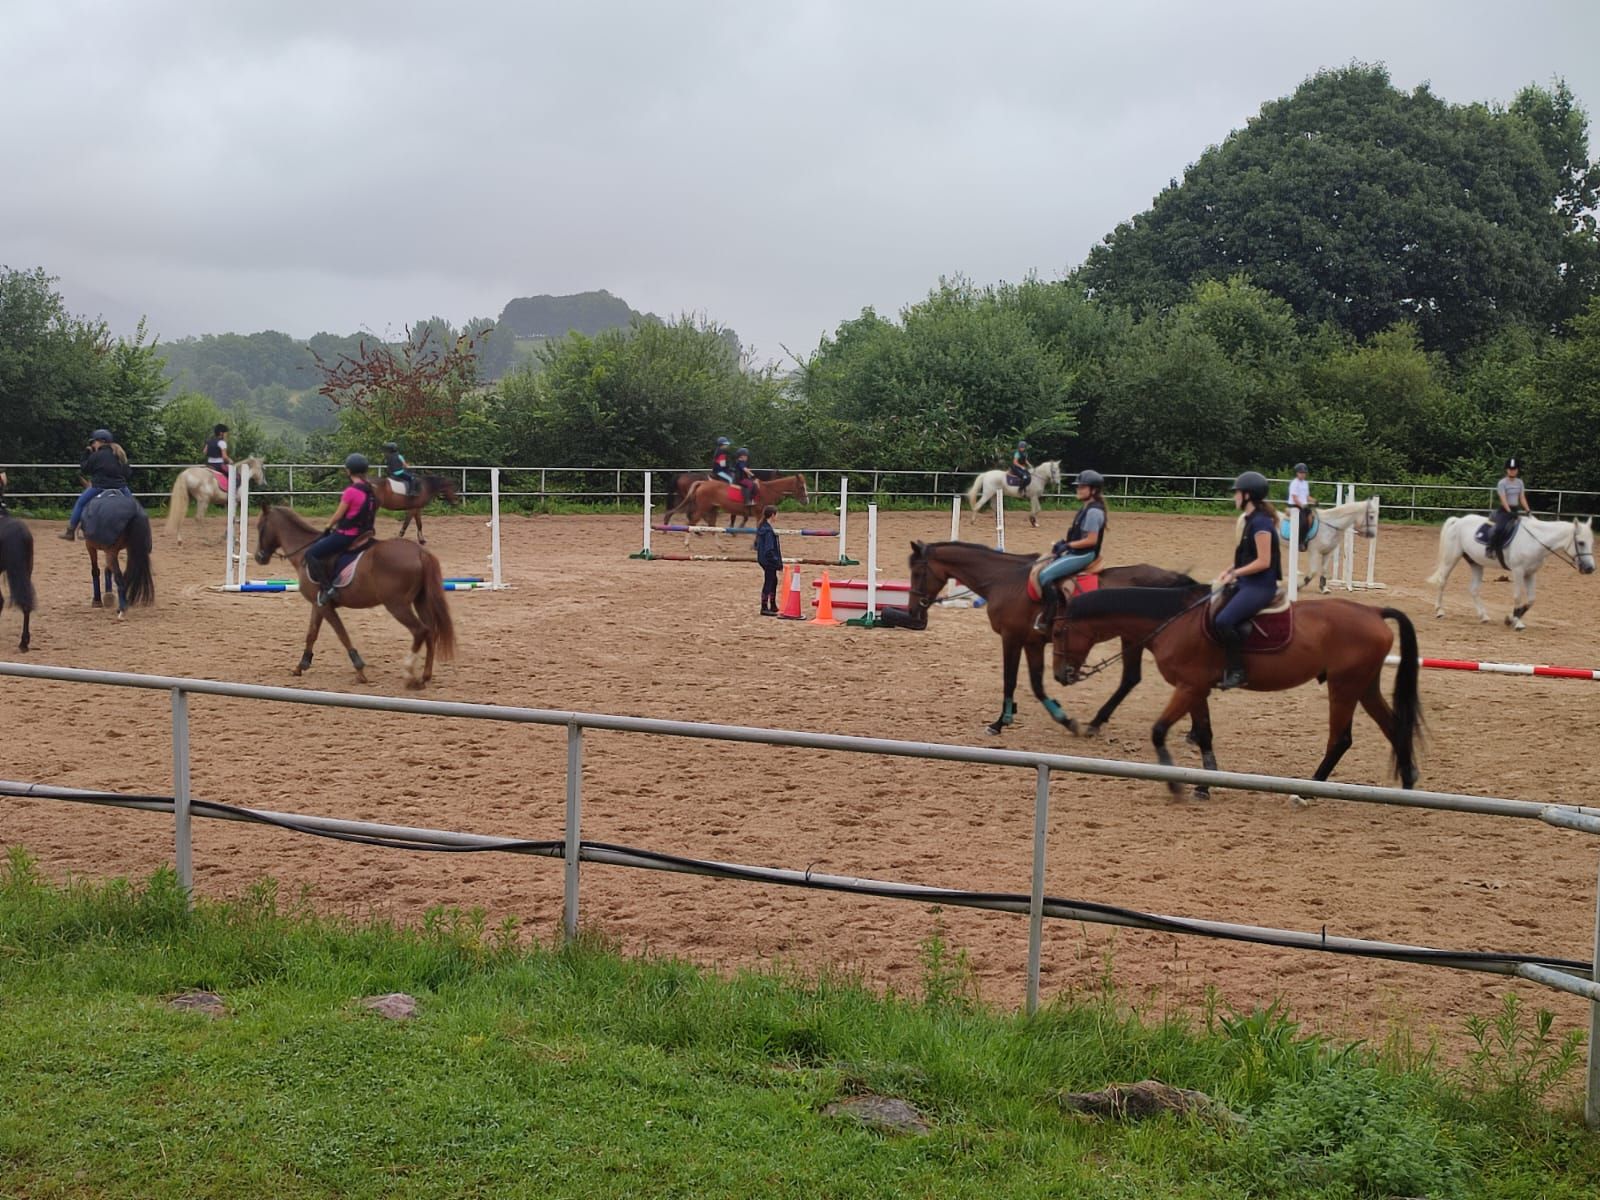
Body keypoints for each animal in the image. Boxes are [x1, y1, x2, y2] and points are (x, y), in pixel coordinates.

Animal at [254, 503, 456, 689]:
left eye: (259, 526)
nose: (258, 557)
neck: (305, 552)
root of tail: (420, 552)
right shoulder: (318, 605)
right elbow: (312, 634)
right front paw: (301, 666)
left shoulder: (325, 607)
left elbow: (342, 635)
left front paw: (360, 671)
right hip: (420, 600)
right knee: (431, 631)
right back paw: (425, 676)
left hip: (397, 605)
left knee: (420, 630)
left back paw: (409, 673)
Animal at [663, 474, 810, 545]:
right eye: (801, 487)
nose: (806, 501)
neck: (767, 490)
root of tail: (703, 483)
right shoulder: (759, 514)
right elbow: (758, 528)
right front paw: (754, 545)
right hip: (702, 508)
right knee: (691, 522)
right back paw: (687, 543)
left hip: (712, 508)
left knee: (711, 525)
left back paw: (719, 546)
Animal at [897, 540, 1202, 736]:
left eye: (918, 572)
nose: (912, 612)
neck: (1004, 580)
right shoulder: (1032, 644)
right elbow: (1036, 685)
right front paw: (1057, 716)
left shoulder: (1011, 638)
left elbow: (1010, 680)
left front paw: (999, 723)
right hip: (1134, 639)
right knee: (1134, 678)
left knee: (1140, 678)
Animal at [1051, 587, 1422, 800]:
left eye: (1058, 631)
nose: (1059, 675)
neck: (1175, 622)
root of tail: (1373, 611)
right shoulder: (1196, 689)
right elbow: (1204, 734)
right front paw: (1204, 784)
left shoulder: (1188, 687)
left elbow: (1158, 731)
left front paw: (1175, 784)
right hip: (1364, 686)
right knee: (1394, 727)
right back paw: (1407, 783)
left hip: (1344, 687)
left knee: (1341, 739)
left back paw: (1309, 790)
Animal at [1425, 514, 1594, 631]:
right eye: (1581, 542)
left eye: (1591, 542)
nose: (1590, 568)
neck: (1534, 541)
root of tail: (1458, 520)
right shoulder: (1518, 571)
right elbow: (1518, 596)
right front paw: (1517, 622)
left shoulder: (1531, 573)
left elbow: (1531, 599)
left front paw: (1511, 618)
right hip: (1451, 558)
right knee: (1442, 581)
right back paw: (1439, 611)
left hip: (1476, 563)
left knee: (1473, 589)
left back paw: (1484, 616)